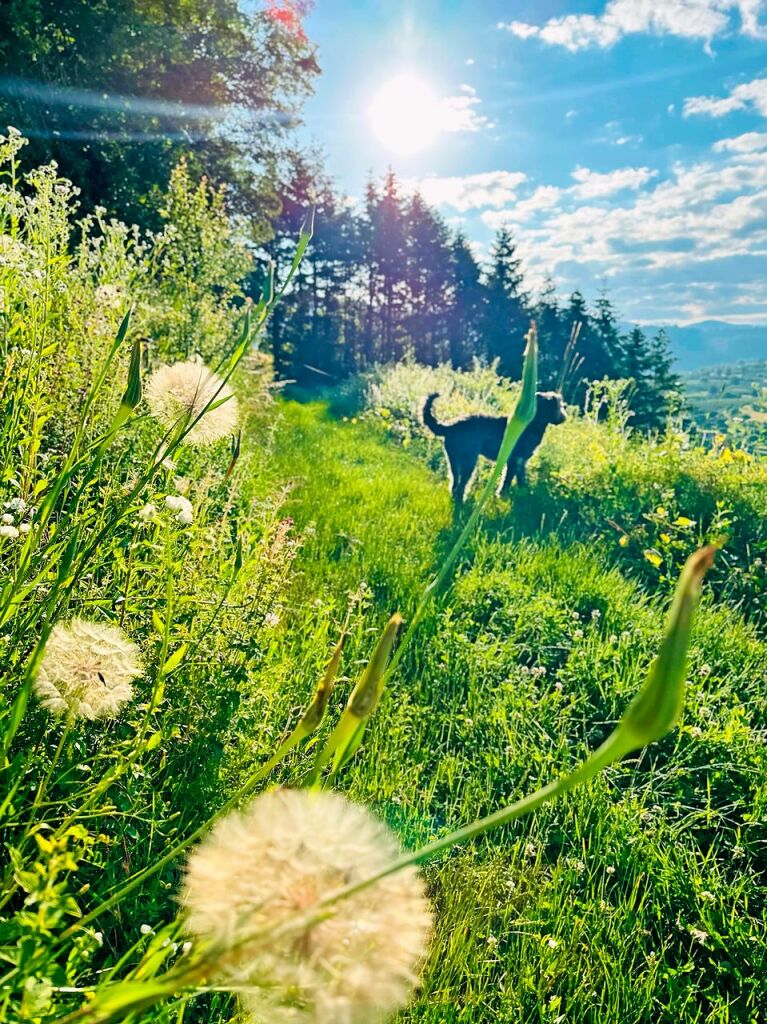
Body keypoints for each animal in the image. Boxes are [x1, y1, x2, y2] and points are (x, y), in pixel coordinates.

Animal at [421, 391, 565, 503]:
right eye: (558, 404)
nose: (564, 414)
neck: (533, 423)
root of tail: (451, 426)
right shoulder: (515, 460)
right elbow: (507, 480)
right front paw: (503, 496)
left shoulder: (521, 461)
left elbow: (521, 478)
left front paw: (524, 492)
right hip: (468, 461)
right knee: (462, 484)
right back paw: (462, 501)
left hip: (454, 461)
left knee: (455, 482)